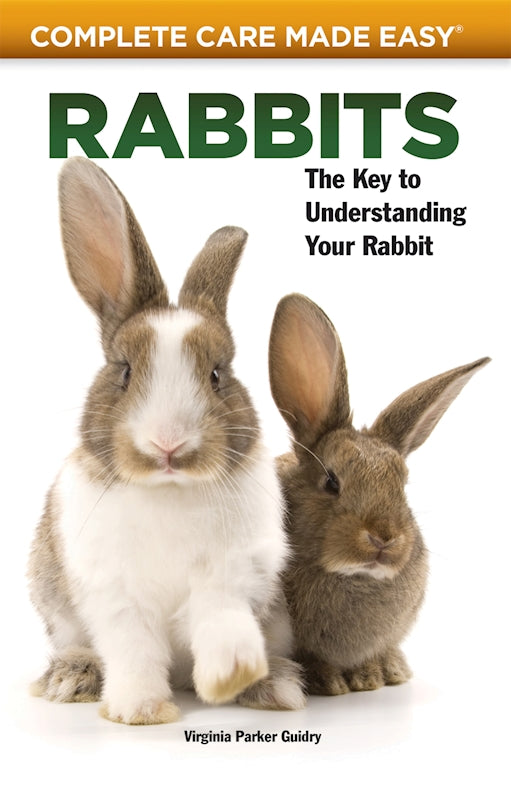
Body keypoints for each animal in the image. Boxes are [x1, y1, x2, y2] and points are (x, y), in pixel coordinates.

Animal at [28, 158, 304, 724]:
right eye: (124, 371)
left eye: (218, 374)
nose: (168, 445)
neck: (170, 490)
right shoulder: (115, 593)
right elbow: (133, 648)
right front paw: (140, 711)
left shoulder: (234, 571)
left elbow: (219, 617)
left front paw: (232, 674)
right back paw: (71, 677)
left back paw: (275, 686)